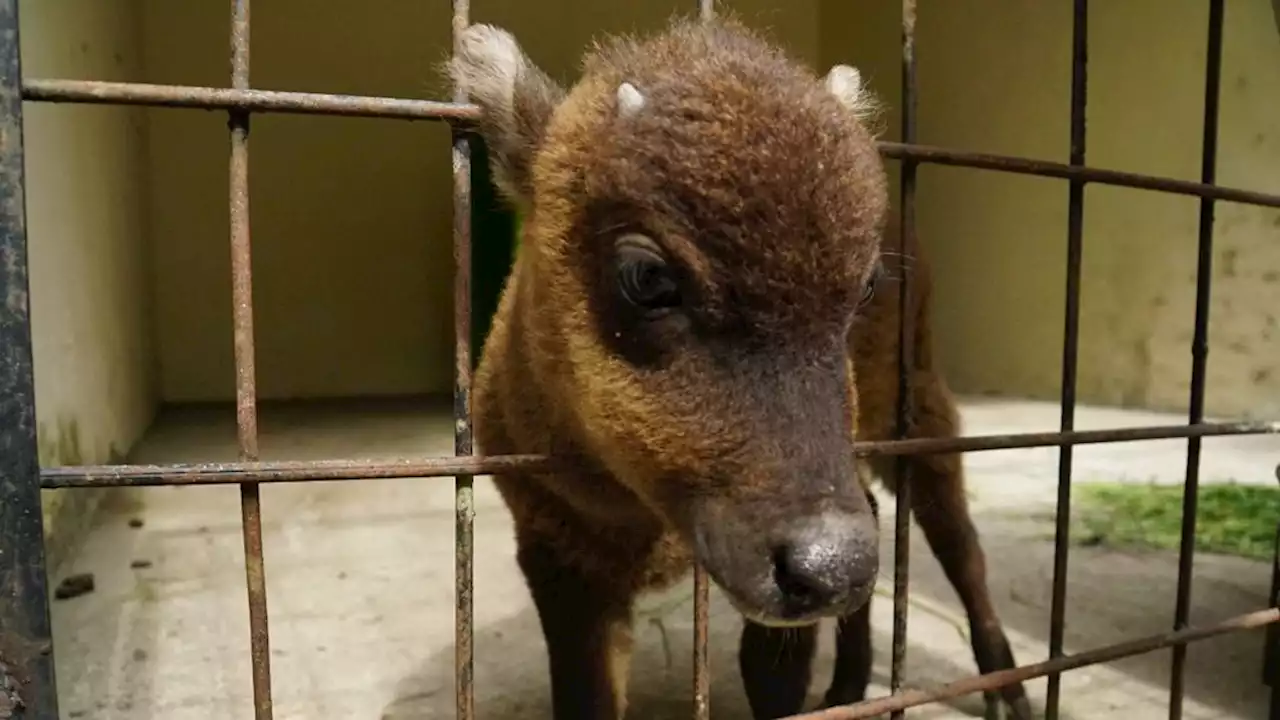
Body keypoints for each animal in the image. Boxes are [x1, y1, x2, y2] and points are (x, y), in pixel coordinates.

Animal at [448, 12, 1029, 717]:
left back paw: (1006, 687)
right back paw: (848, 685)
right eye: (647, 275)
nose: (832, 566)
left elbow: (770, 679)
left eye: (866, 286)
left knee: (957, 540)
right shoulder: (558, 556)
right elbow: (589, 692)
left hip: (915, 408)